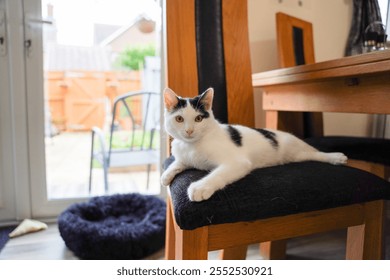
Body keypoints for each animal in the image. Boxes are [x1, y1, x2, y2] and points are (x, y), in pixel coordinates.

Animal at [160, 87, 348, 201]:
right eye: (179, 119)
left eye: (198, 119)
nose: (189, 131)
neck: (192, 145)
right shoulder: (185, 158)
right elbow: (178, 163)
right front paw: (166, 175)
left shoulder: (238, 162)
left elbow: (218, 174)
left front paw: (200, 187)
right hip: (297, 155)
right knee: (309, 155)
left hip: (295, 148)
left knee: (316, 153)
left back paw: (336, 157)